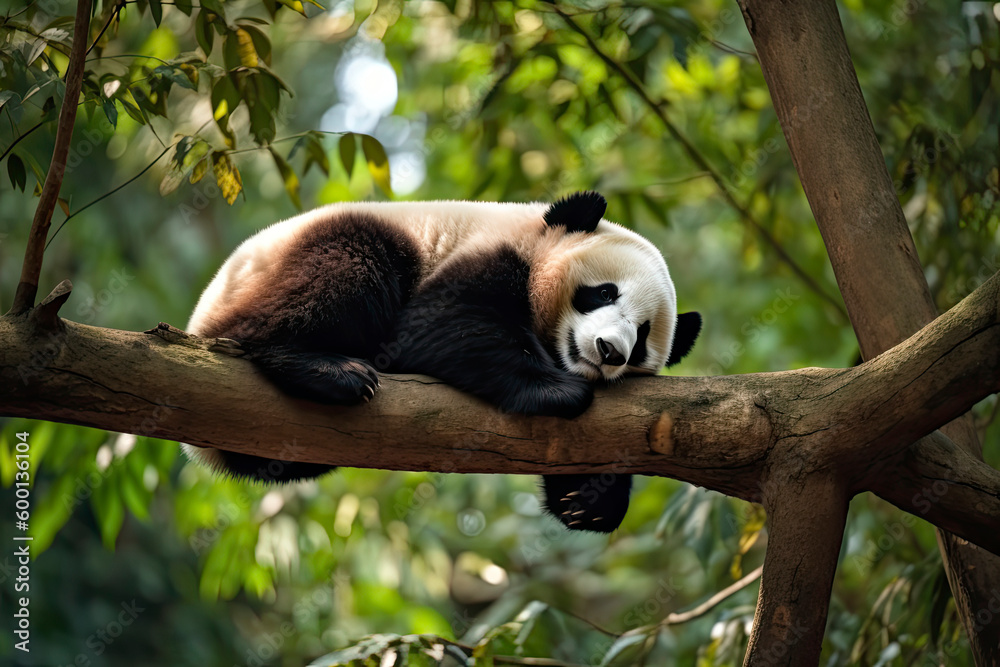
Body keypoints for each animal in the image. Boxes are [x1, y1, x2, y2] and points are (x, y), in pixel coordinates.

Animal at [184, 191, 700, 533]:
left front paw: (586, 499)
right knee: (342, 267)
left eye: (642, 339)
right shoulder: (487, 254)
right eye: (604, 293)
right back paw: (326, 369)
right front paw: (556, 390)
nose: (610, 351)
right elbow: (440, 327)